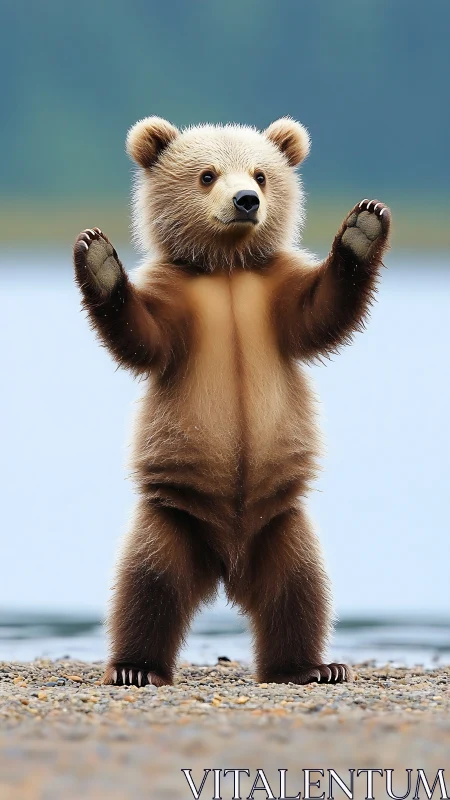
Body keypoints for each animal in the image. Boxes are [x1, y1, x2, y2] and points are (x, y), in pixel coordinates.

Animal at [73, 116, 390, 687]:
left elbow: (322, 313)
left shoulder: (273, 297)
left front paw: (362, 230)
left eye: (262, 174)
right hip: (173, 518)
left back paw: (310, 666)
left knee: (300, 588)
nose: (246, 200)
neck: (226, 268)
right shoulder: (179, 302)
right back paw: (135, 667)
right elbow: (143, 337)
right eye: (207, 174)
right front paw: (101, 260)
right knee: (147, 582)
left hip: (282, 523)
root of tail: (228, 565)